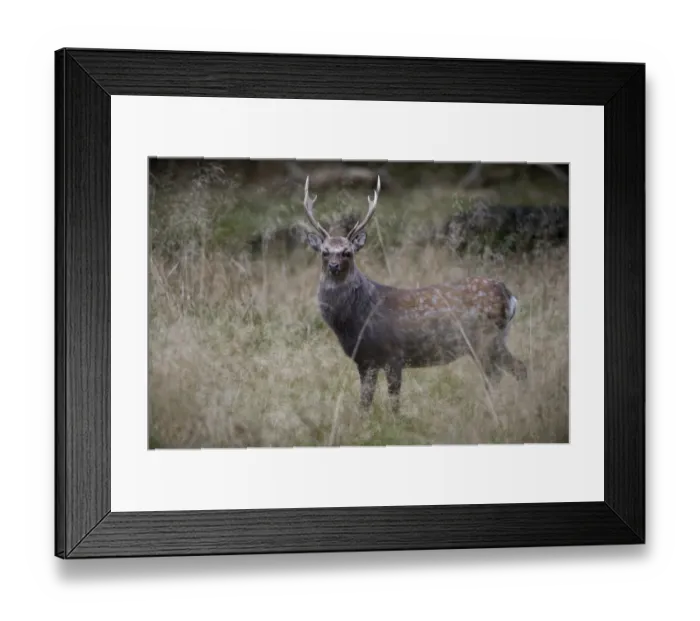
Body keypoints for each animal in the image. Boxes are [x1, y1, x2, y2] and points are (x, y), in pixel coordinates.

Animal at [301, 175, 527, 415]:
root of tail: (509, 296)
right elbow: (364, 403)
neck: (358, 318)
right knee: (497, 374)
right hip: (490, 341)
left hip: (487, 339)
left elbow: (394, 402)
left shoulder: (394, 354)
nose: (334, 266)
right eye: (325, 252)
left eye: (347, 252)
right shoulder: (364, 360)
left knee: (517, 369)